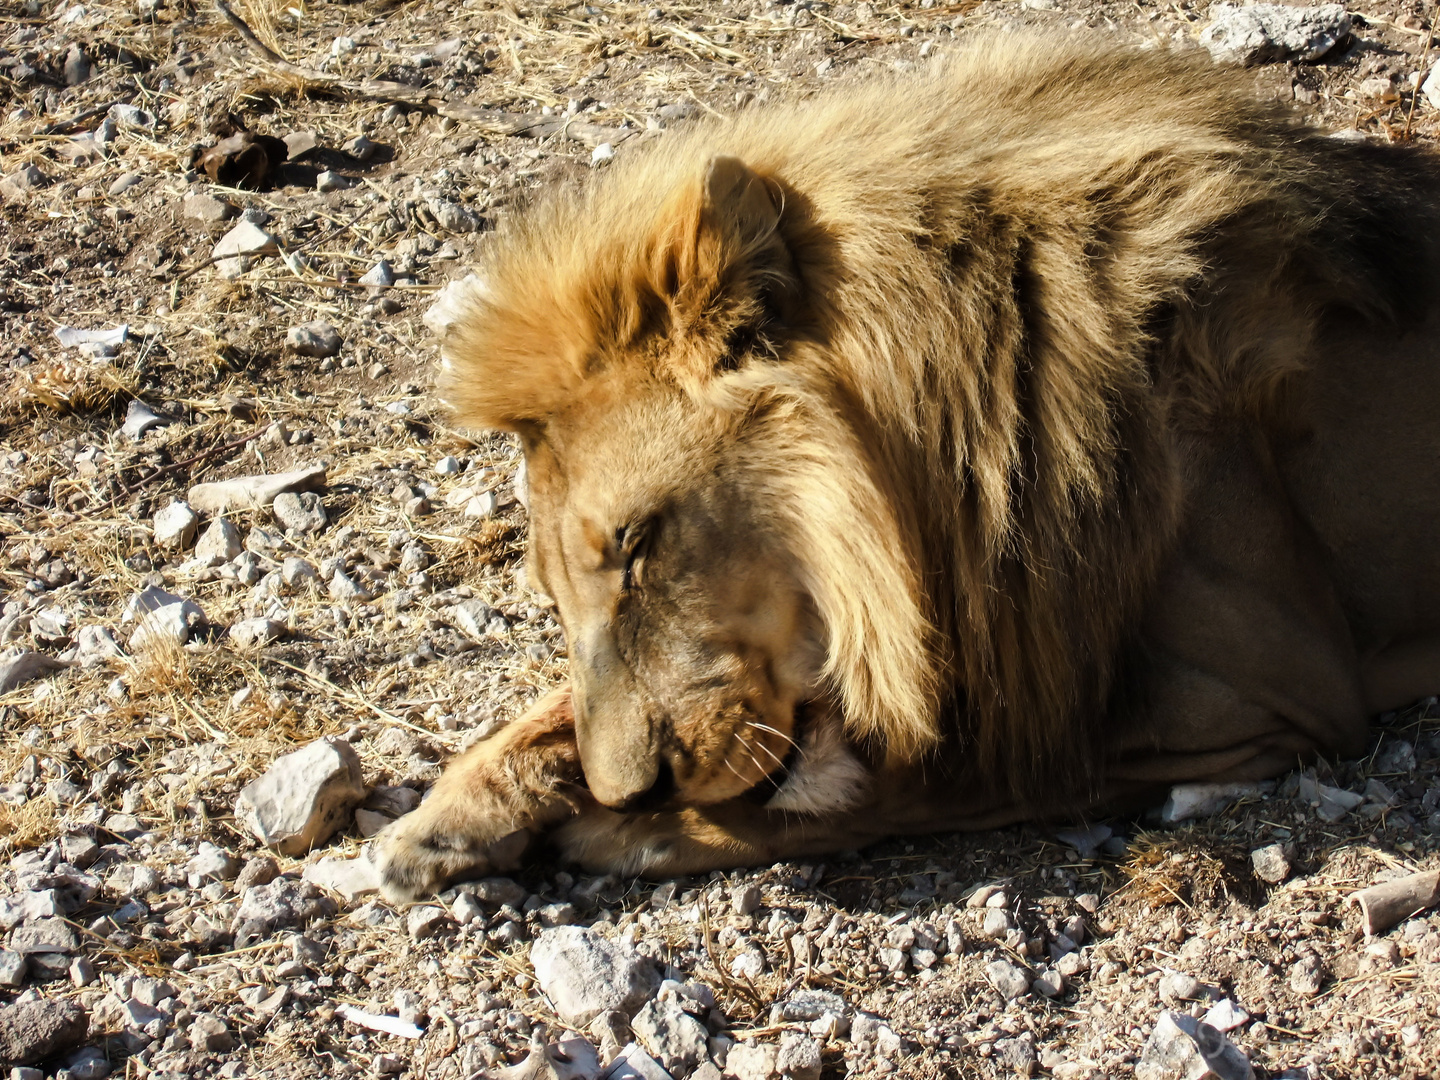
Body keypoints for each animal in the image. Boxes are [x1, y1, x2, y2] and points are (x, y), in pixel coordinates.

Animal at [377, 36, 1440, 904]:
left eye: (639, 543)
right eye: (553, 590)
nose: (631, 789)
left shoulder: (1260, 695)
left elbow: (902, 782)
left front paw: (622, 829)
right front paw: (447, 815)